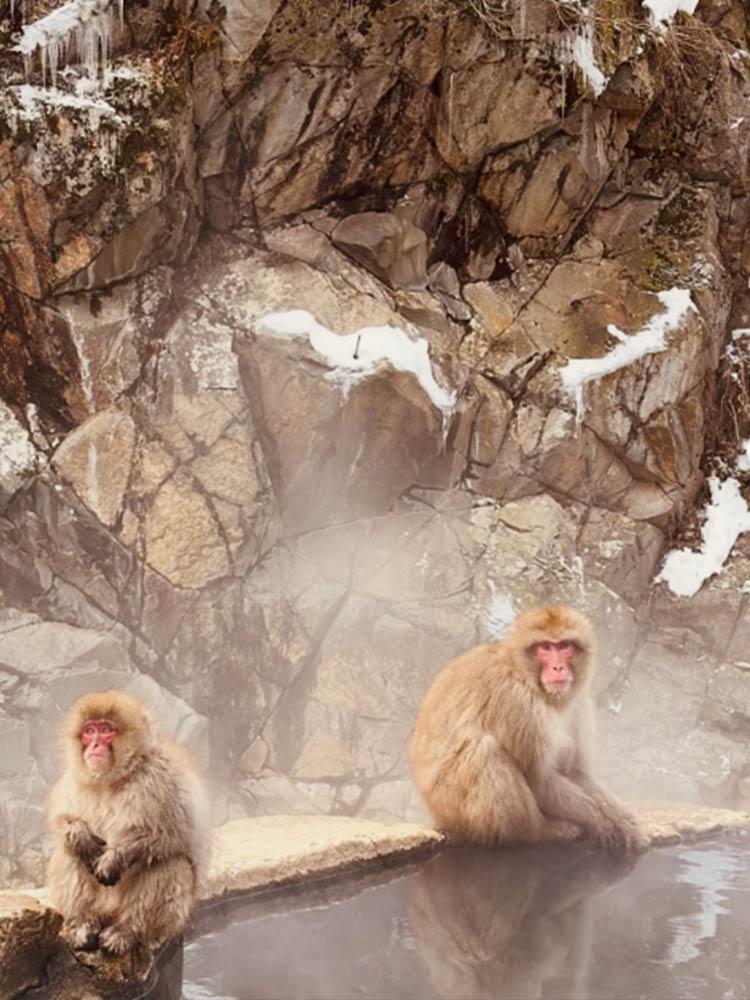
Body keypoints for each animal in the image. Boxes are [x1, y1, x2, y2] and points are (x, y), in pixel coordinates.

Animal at [46, 691, 210, 956]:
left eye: (106, 730)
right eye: (89, 731)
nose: (94, 745)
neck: (113, 778)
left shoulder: (162, 777)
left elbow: (175, 834)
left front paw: (115, 858)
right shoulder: (74, 778)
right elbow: (61, 820)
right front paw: (80, 835)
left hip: (170, 918)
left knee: (169, 862)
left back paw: (127, 932)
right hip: (100, 907)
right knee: (67, 852)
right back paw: (82, 925)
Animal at [410, 604, 644, 851]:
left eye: (565, 646)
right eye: (545, 647)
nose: (558, 667)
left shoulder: (579, 703)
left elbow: (575, 772)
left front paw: (621, 816)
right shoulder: (517, 701)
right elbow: (540, 780)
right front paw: (599, 820)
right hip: (453, 808)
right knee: (485, 749)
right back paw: (537, 831)